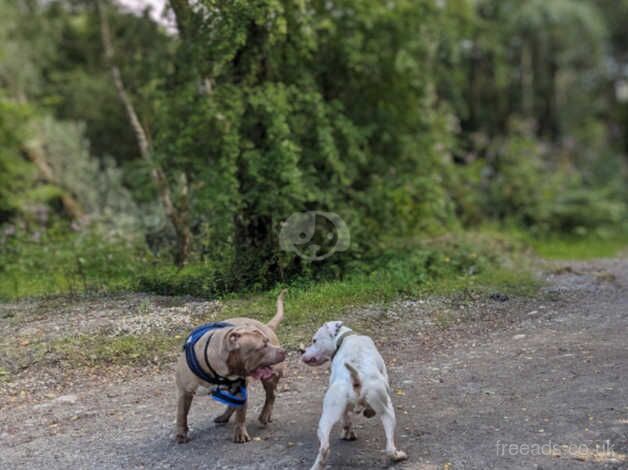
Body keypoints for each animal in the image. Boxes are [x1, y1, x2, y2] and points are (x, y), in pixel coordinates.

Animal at [174, 290, 288, 444]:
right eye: (263, 346)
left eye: (267, 342)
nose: (283, 351)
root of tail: (266, 325)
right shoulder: (184, 391)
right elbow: (181, 414)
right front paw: (181, 433)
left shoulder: (240, 388)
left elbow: (241, 413)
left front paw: (240, 433)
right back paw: (225, 416)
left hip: (270, 378)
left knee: (271, 396)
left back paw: (264, 415)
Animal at [302, 322, 410, 468]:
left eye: (314, 340)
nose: (302, 352)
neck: (345, 338)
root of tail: (356, 377)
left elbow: (346, 419)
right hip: (388, 410)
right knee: (389, 447)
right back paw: (398, 456)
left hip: (327, 417)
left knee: (324, 446)